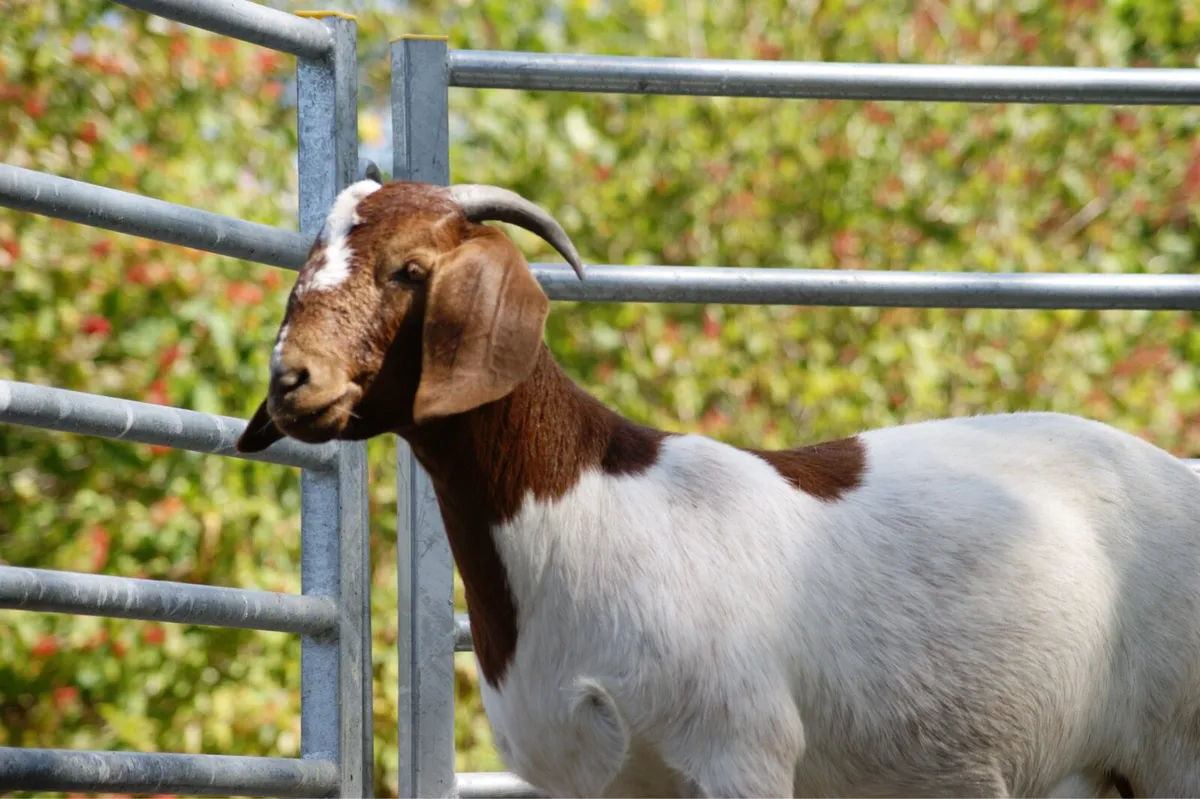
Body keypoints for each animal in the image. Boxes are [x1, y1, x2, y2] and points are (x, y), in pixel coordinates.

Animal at [237, 178, 1200, 798]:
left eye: (409, 269)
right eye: (306, 264)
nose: (293, 381)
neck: (585, 507)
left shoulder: (742, 750)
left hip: (1176, 746)